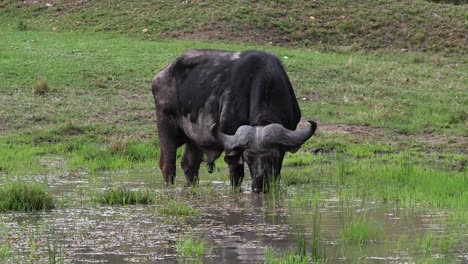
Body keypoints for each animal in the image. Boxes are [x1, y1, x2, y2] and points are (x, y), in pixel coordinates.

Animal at [152, 49, 316, 193]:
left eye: (273, 157)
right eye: (248, 158)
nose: (259, 187)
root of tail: (161, 77)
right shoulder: (232, 148)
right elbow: (236, 177)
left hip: (195, 139)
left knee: (190, 165)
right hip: (166, 127)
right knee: (168, 165)